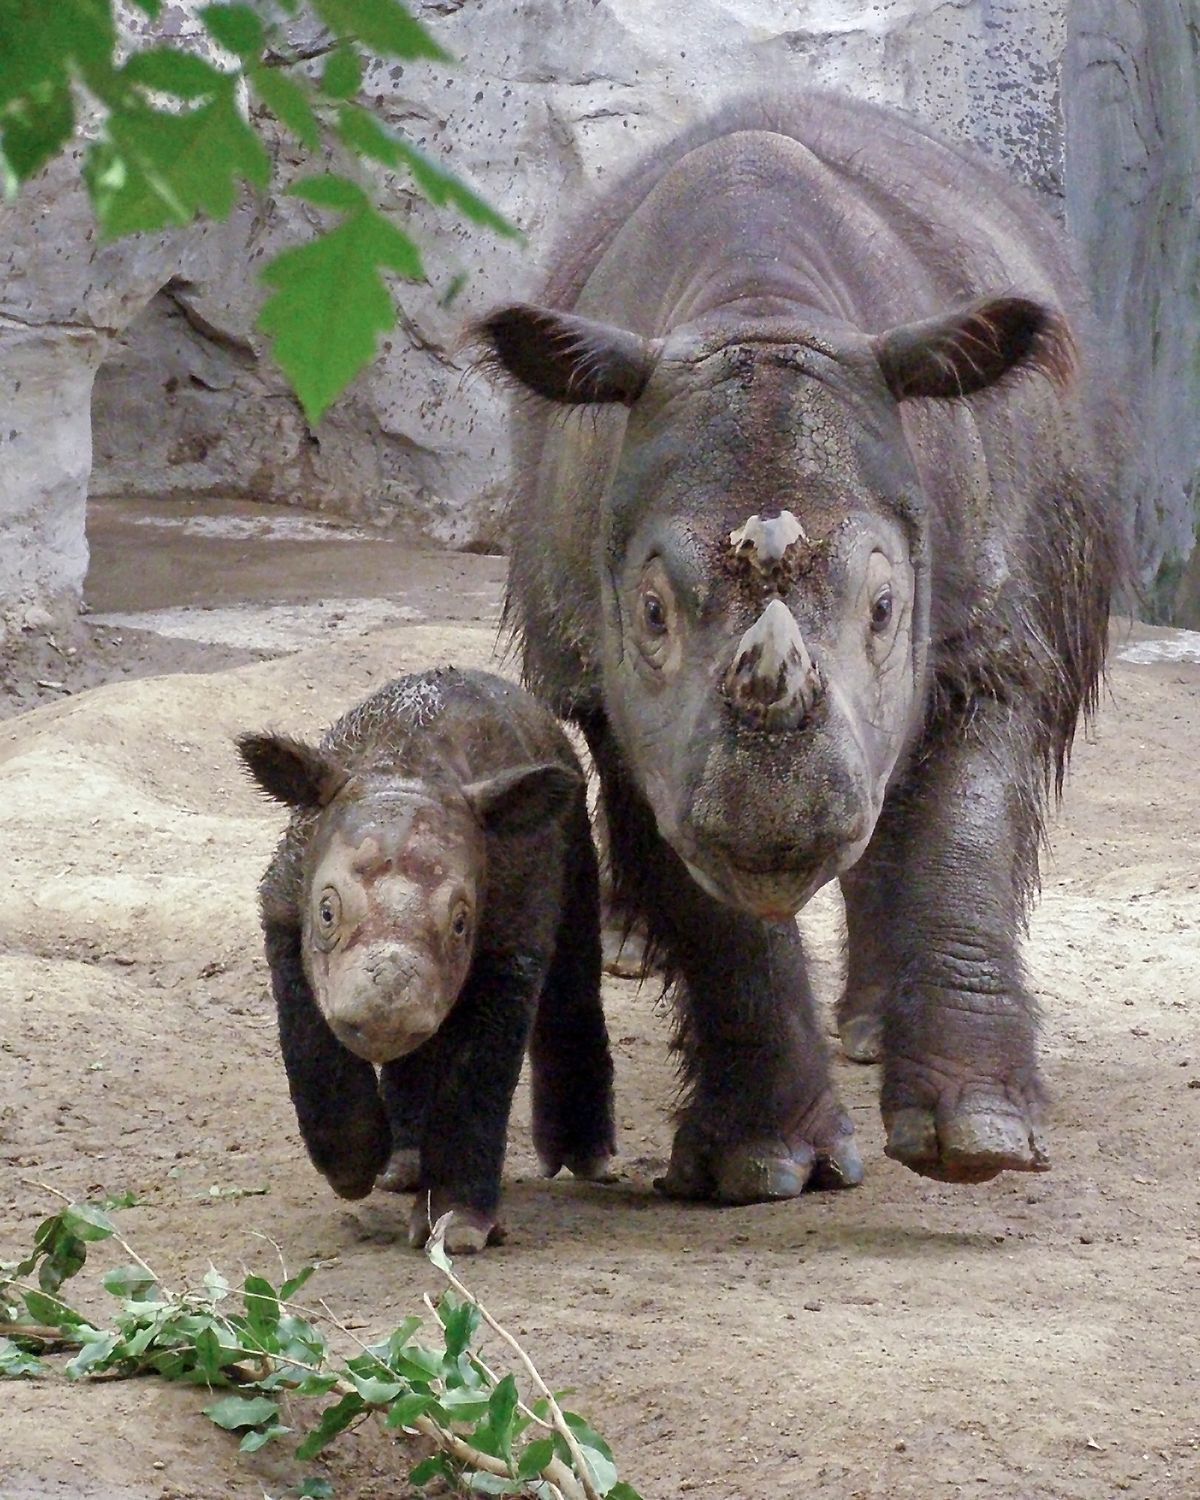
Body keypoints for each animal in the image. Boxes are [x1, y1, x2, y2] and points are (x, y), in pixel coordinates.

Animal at [474, 92, 1124, 1202]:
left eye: (885, 607)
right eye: (651, 612)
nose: (779, 834)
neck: (759, 306)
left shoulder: (989, 636)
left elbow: (966, 831)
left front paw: (979, 1142)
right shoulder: (618, 695)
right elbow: (706, 899)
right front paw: (761, 1167)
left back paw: (870, 1035)